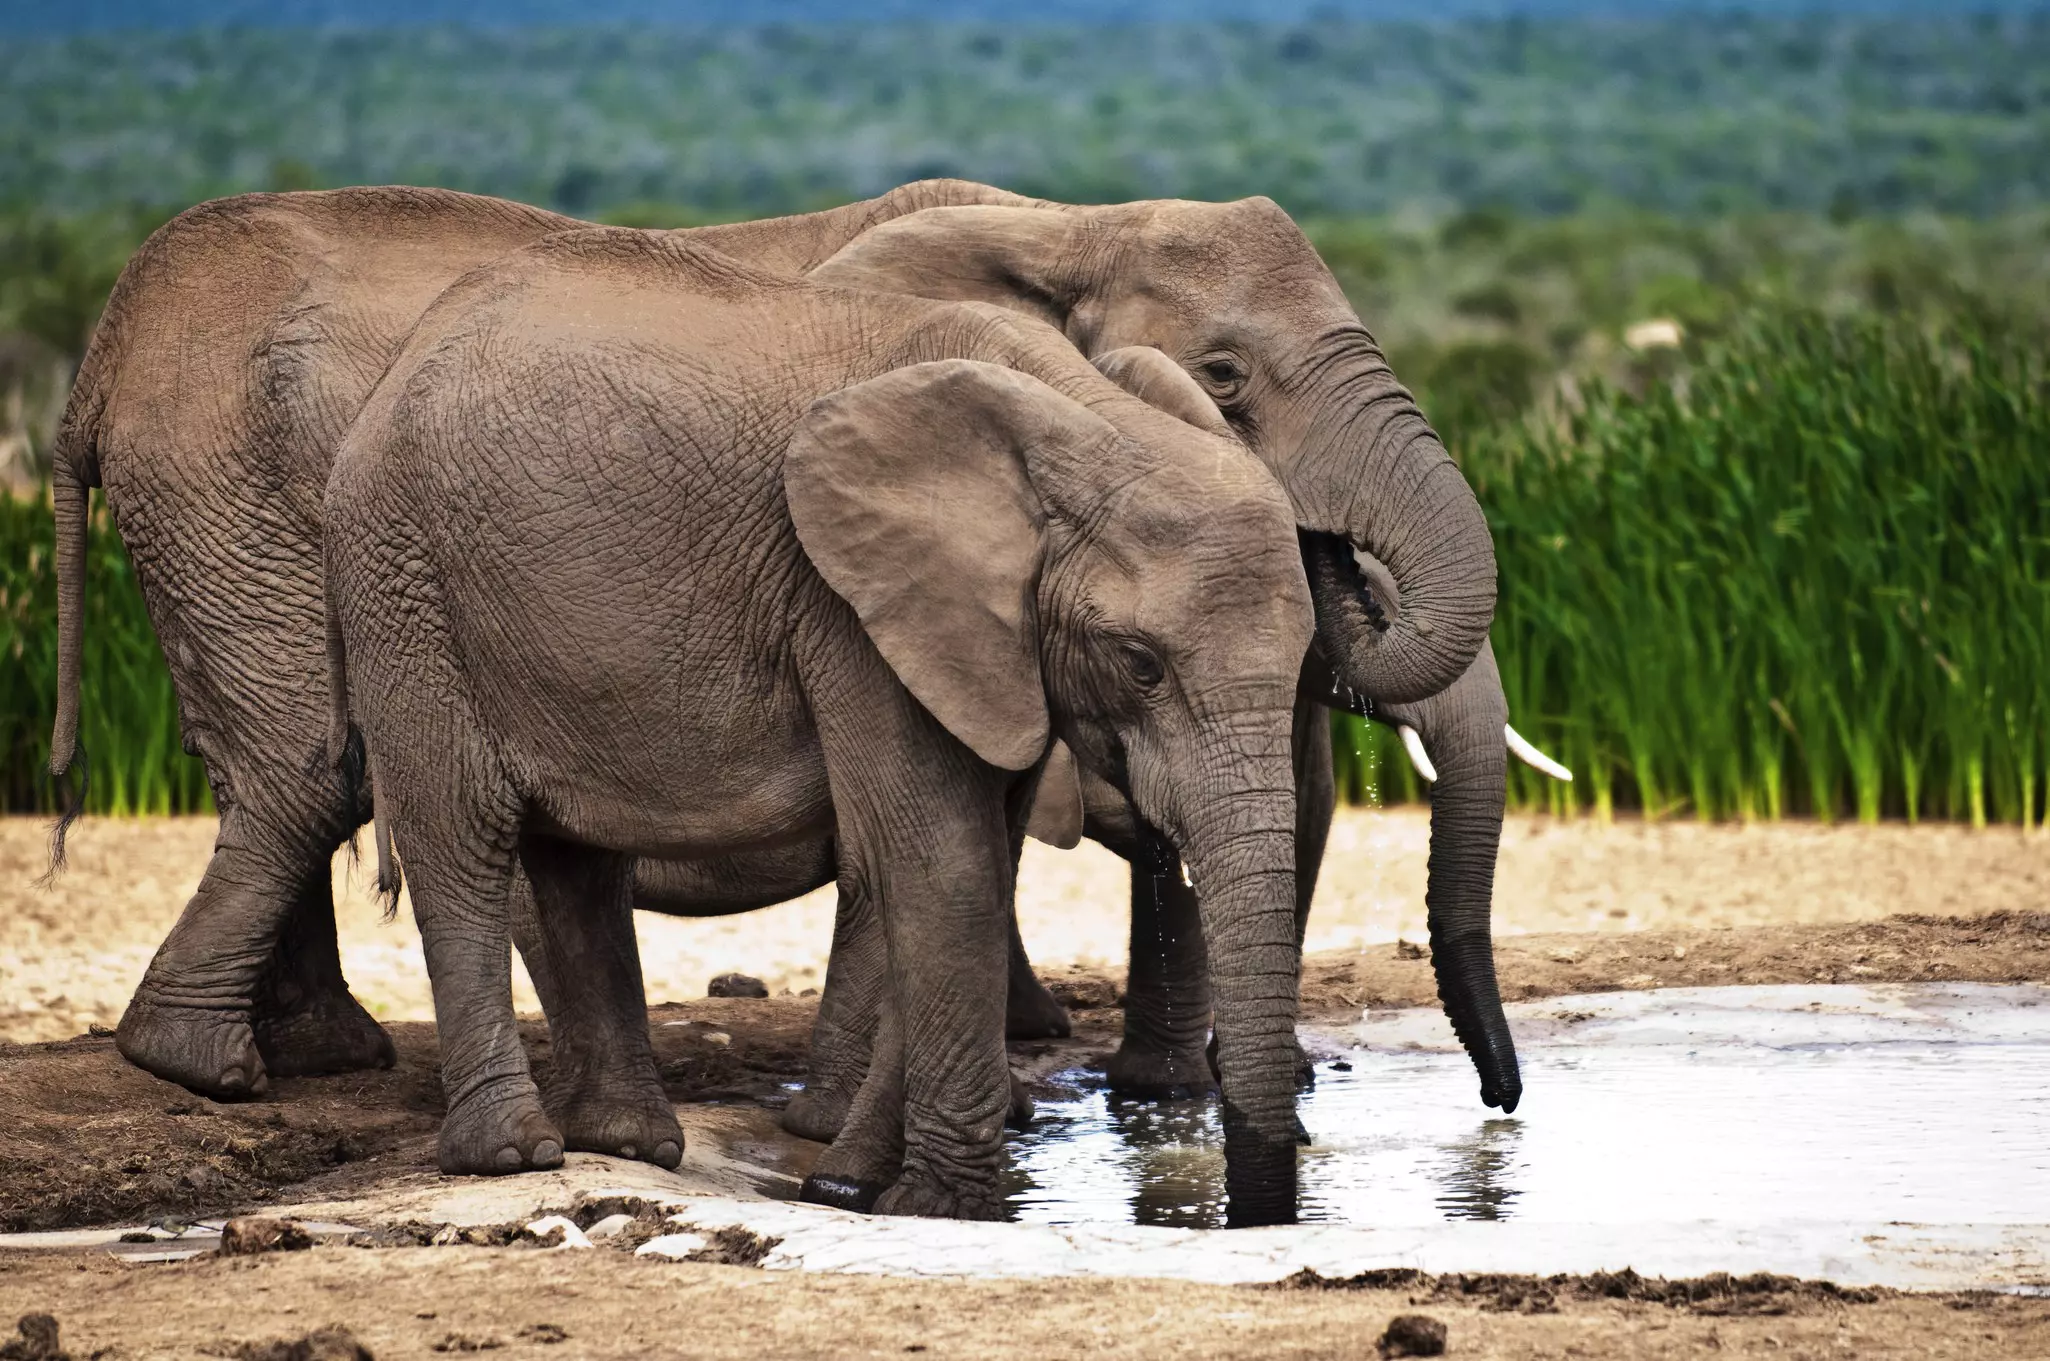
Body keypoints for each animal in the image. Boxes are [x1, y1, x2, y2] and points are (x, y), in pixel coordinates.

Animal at [322, 229, 1317, 1223]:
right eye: (1142, 663)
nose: (1277, 1178)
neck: (1088, 422)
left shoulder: (997, 642)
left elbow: (974, 859)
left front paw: (851, 1183)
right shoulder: (850, 605)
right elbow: (941, 861)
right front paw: (939, 1205)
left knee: (579, 861)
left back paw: (627, 1143)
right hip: (404, 579)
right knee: (463, 838)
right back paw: (512, 1154)